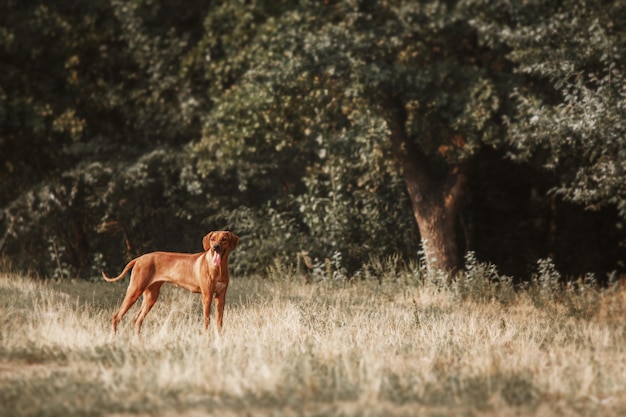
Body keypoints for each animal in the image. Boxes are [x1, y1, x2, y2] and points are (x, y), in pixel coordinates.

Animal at [102, 229, 239, 334]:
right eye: (212, 239)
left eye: (224, 239)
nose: (215, 247)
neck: (218, 268)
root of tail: (139, 258)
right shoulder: (207, 296)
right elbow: (207, 320)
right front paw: (206, 337)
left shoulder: (220, 296)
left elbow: (219, 321)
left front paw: (219, 337)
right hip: (134, 291)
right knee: (117, 317)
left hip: (151, 296)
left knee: (137, 320)